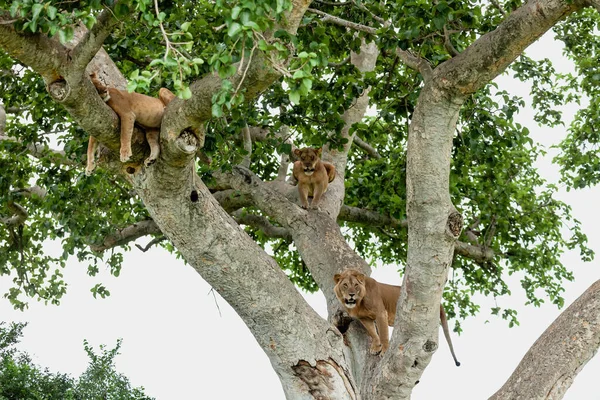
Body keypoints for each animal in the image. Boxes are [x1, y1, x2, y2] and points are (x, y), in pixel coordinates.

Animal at [332, 268, 460, 366]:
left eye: (356, 285)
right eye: (345, 285)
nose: (351, 294)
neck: (358, 303)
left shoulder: (381, 313)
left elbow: (383, 334)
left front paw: (384, 350)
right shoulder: (364, 318)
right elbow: (373, 333)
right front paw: (375, 347)